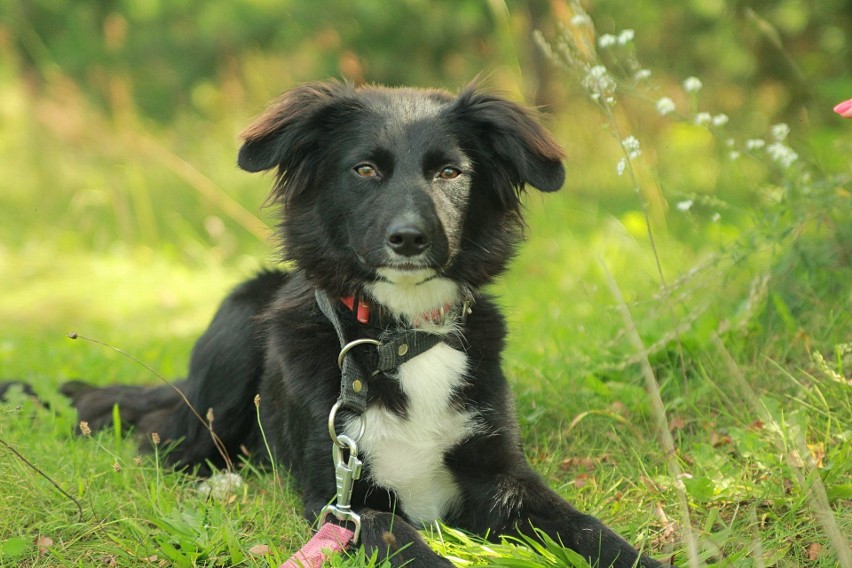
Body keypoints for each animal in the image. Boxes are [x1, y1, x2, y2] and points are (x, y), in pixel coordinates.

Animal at [66, 81, 664, 568]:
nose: (409, 239)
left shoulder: (503, 477)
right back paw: (223, 483)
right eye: (365, 170)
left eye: (450, 172)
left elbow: (590, 531)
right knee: (164, 442)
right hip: (232, 337)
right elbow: (406, 543)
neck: (400, 335)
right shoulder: (340, 503)